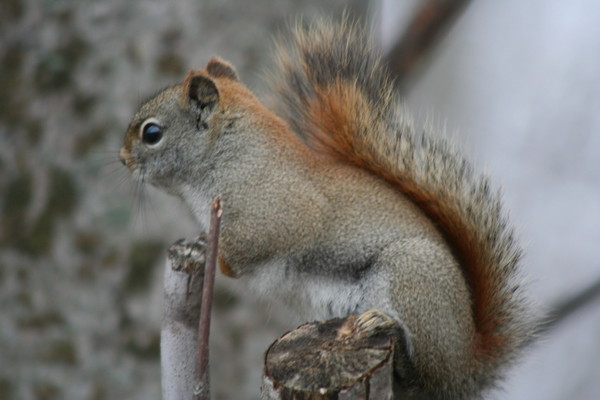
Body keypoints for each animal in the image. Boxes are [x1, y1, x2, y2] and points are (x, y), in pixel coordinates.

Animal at [119, 18, 532, 396]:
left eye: (151, 133)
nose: (122, 160)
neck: (227, 155)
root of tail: (467, 366)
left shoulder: (283, 209)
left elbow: (252, 244)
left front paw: (212, 250)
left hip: (411, 276)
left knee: (423, 372)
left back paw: (385, 328)